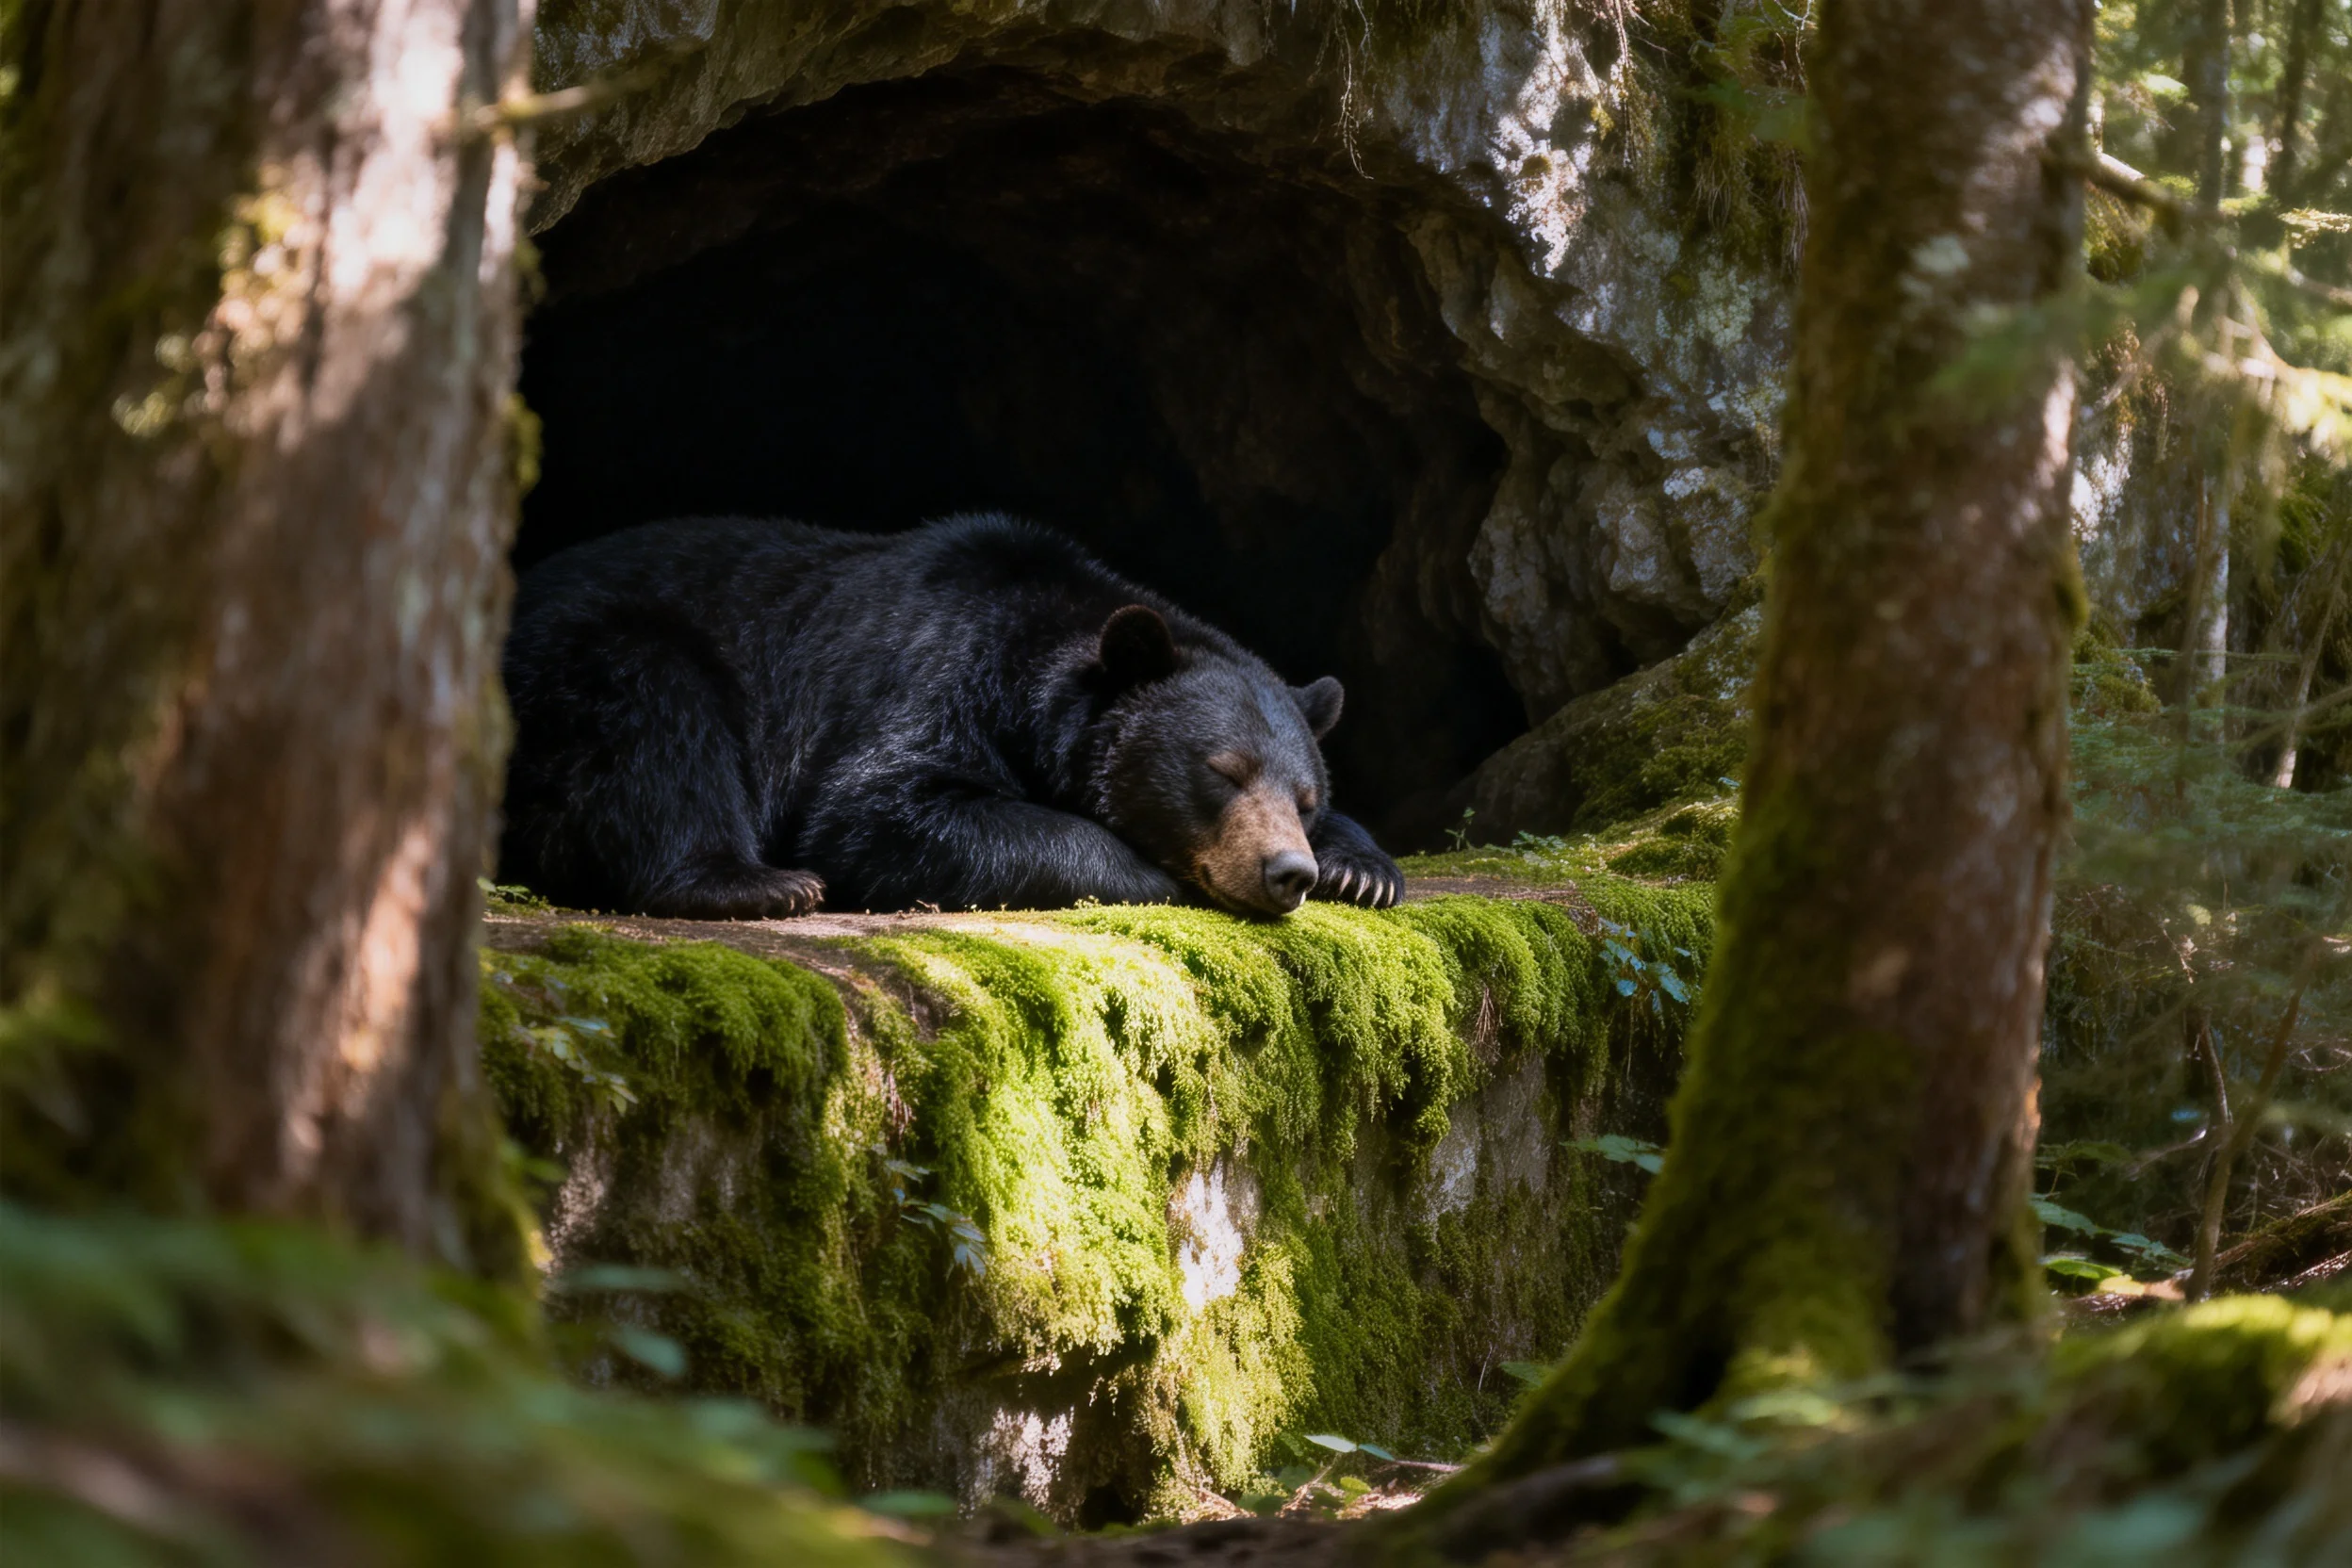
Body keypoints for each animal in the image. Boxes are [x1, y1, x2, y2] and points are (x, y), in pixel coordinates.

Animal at [497, 513, 1405, 919]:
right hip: (585, 661)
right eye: (1222, 771)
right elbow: (878, 813)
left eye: (1308, 799)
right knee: (655, 720)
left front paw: (1363, 869)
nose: (1287, 871)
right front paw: (1150, 873)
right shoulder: (928, 680)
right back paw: (758, 881)